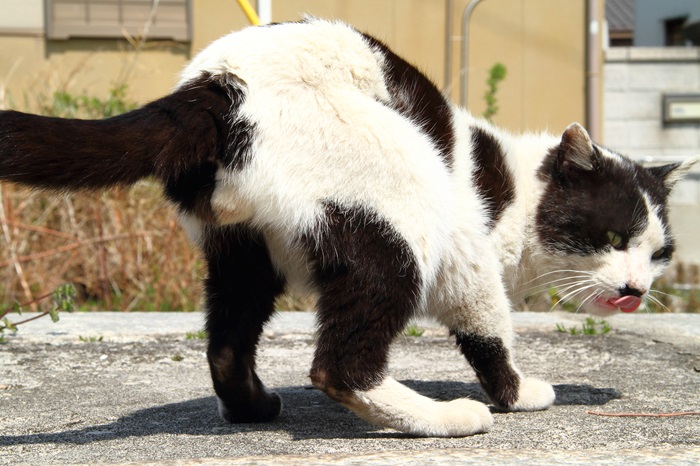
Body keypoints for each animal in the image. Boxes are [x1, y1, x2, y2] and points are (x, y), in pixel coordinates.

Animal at [0, 20, 696, 436]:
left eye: (658, 254)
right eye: (612, 239)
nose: (637, 289)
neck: (516, 192)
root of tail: (217, 89)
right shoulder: (468, 254)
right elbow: (489, 329)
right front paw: (517, 393)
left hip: (243, 255)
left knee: (227, 343)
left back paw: (254, 409)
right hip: (402, 210)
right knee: (339, 366)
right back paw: (442, 417)